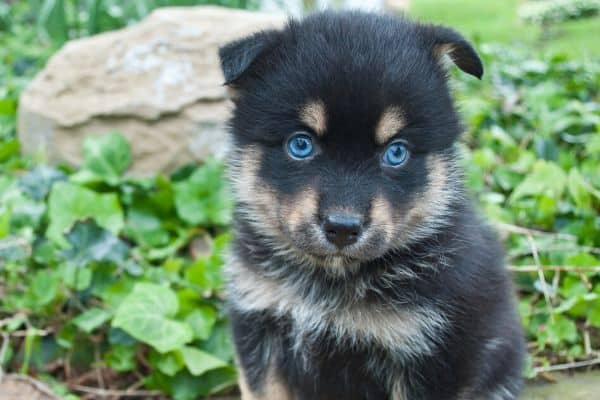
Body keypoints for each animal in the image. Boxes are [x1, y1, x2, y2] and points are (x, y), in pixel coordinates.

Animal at [220, 11, 524, 400]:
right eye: (300, 144)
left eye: (396, 152)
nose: (342, 228)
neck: (331, 281)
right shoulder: (261, 326)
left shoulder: (429, 352)